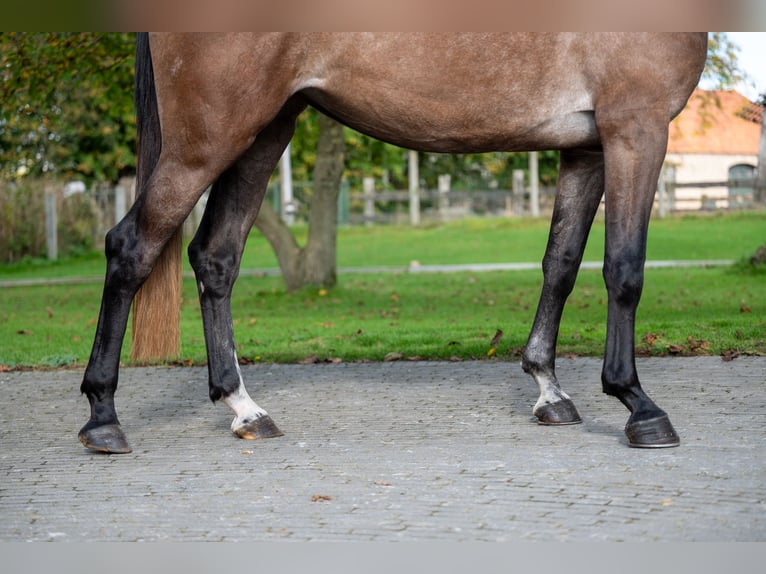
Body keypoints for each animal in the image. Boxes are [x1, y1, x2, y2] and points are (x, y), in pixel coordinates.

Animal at [78, 32, 708, 454]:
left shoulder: (587, 145)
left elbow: (562, 263)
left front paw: (549, 391)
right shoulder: (635, 127)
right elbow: (624, 269)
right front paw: (637, 405)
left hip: (264, 131)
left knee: (215, 258)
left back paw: (245, 409)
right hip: (207, 141)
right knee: (130, 248)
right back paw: (103, 418)